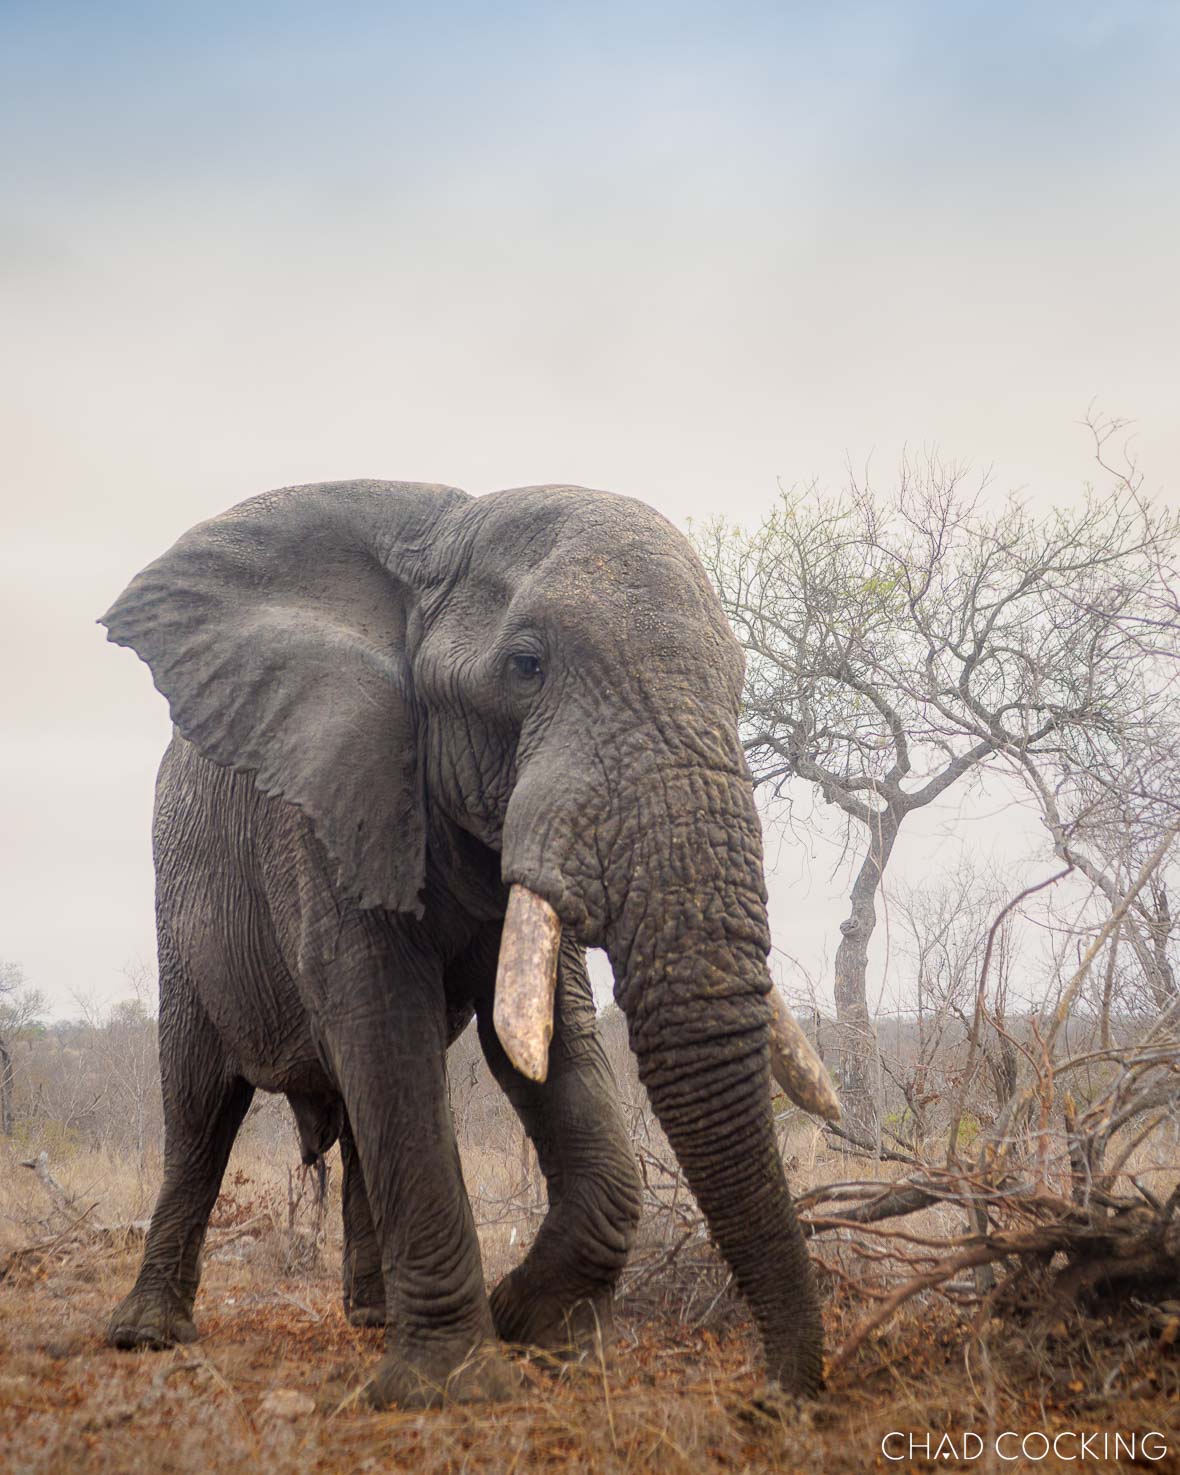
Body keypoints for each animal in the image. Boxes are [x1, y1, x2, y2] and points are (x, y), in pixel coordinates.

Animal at [99, 479, 839, 1408]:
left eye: (739, 678)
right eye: (526, 666)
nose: (773, 1394)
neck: (440, 531)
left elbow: (540, 1034)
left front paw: (537, 1329)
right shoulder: (325, 809)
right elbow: (383, 1021)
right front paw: (452, 1386)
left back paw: (372, 1317)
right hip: (179, 907)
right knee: (199, 1103)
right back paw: (145, 1334)